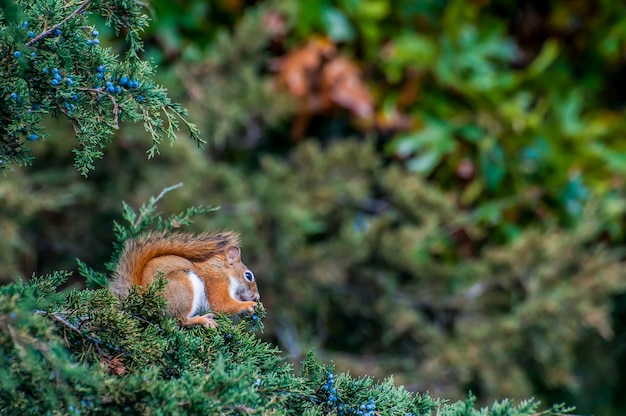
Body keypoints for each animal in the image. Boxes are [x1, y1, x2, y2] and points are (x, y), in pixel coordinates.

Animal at [109, 231, 258, 328]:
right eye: (248, 276)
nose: (257, 297)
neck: (222, 270)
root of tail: (144, 300)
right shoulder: (216, 283)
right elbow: (222, 304)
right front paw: (249, 305)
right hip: (183, 288)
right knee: (181, 320)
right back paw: (202, 320)